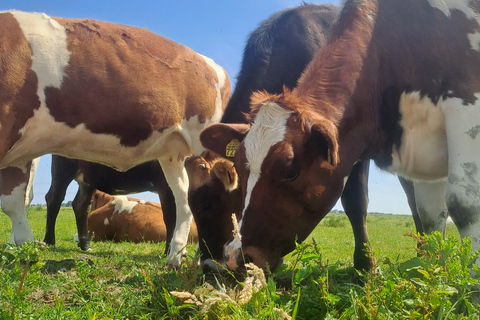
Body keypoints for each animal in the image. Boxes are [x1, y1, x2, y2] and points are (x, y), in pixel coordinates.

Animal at [43, 156, 176, 255]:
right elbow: (171, 218)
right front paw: (170, 253)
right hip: (64, 165)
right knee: (54, 198)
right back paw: (50, 242)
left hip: (89, 178)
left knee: (81, 205)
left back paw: (85, 245)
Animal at [202, 0, 480, 272]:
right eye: (241, 169)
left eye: (290, 171)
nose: (232, 258)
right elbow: (430, 212)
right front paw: (433, 274)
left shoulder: (465, 104)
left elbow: (462, 204)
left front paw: (366, 267)